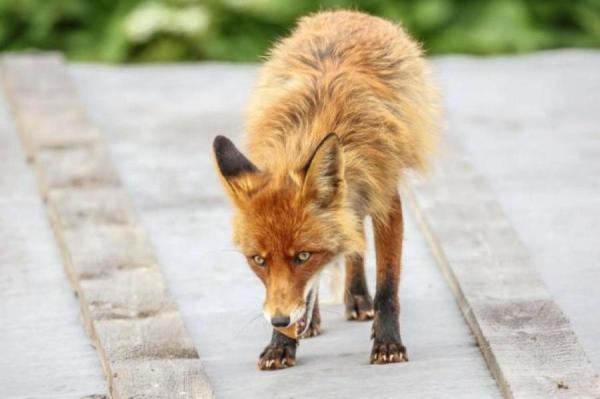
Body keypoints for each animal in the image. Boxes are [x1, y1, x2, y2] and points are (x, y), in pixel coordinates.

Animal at [213, 10, 438, 372]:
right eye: (258, 260)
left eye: (304, 256)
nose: (278, 321)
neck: (317, 126)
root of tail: (348, 13)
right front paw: (281, 345)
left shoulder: (386, 198)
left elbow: (387, 287)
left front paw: (388, 342)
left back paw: (358, 297)